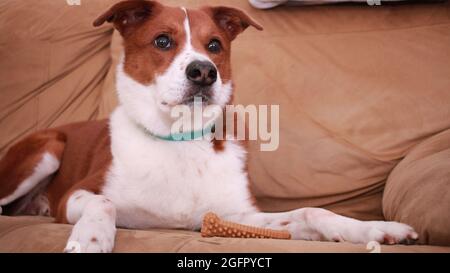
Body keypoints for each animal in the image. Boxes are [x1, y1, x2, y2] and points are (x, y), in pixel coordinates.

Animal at [0, 0, 418, 252]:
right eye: (162, 41)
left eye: (214, 45)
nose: (203, 71)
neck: (180, 140)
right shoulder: (76, 194)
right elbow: (103, 202)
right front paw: (90, 238)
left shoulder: (237, 217)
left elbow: (311, 213)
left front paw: (374, 230)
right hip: (48, 148)